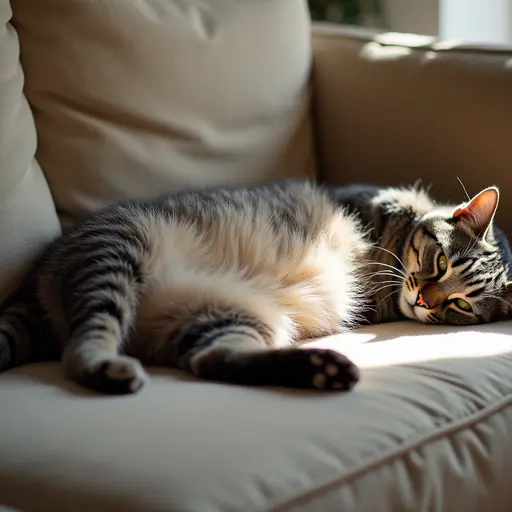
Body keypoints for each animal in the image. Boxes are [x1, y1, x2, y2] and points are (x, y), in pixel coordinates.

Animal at [0, 180, 510, 396]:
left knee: (211, 359)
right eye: (441, 261)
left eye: (463, 306)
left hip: (224, 315)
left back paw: (323, 370)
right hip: (115, 254)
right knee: (83, 343)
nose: (425, 300)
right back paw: (107, 368)